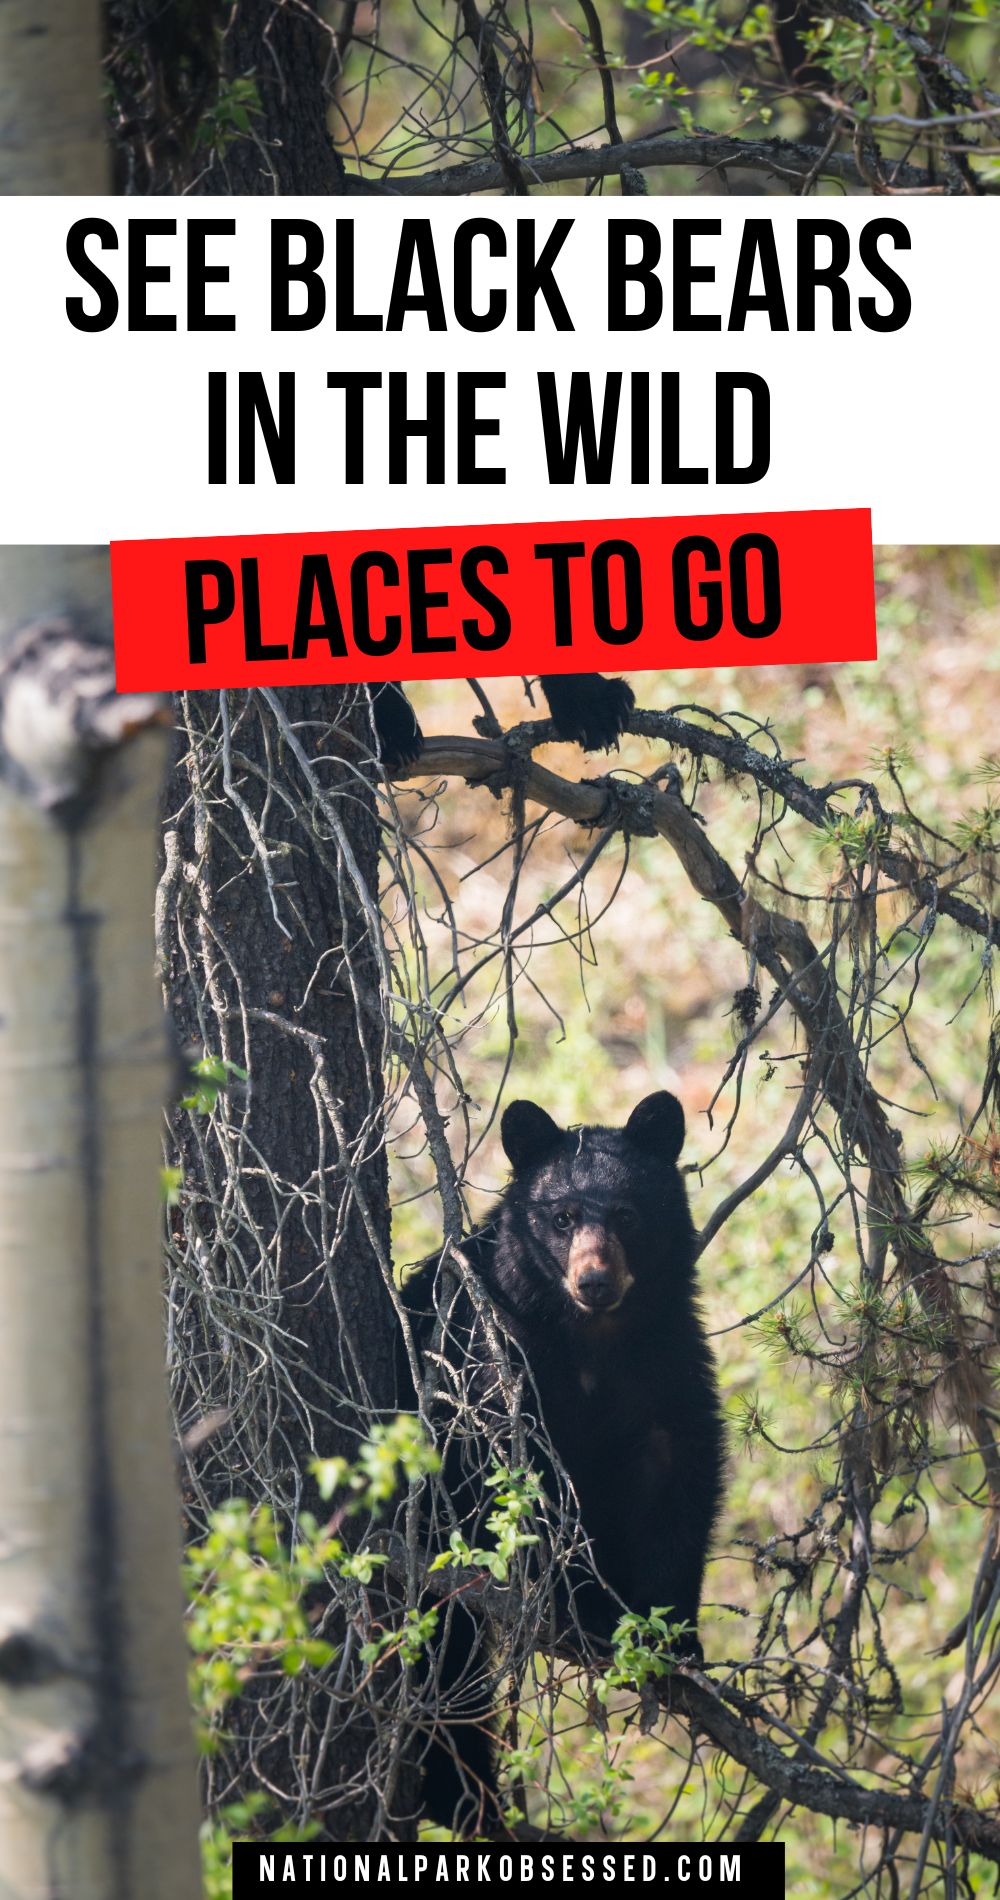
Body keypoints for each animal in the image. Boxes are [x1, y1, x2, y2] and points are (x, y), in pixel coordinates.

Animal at [398, 1089, 724, 1836]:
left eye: (627, 1214)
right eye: (562, 1216)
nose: (595, 1279)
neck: (593, 1341)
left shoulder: (667, 1357)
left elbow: (679, 1468)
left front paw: (673, 1635)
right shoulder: (491, 1356)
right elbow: (523, 1485)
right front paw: (589, 1610)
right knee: (448, 1659)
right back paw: (465, 1794)